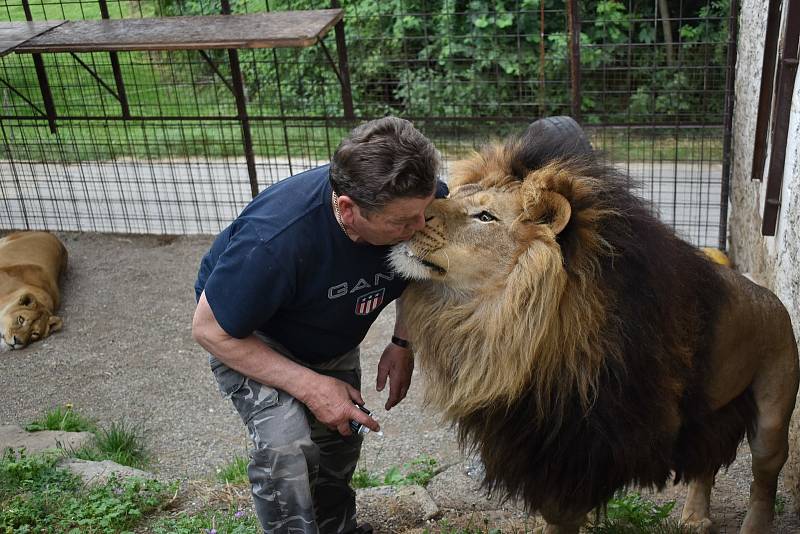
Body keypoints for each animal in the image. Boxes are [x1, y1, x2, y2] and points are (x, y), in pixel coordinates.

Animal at [390, 139, 800, 534]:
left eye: (485, 216)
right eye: (454, 196)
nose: (412, 217)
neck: (501, 319)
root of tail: (771, 298)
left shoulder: (579, 442)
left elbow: (561, 516)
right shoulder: (530, 434)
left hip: (772, 415)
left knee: (763, 481)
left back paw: (753, 526)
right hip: (709, 410)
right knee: (706, 460)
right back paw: (695, 518)